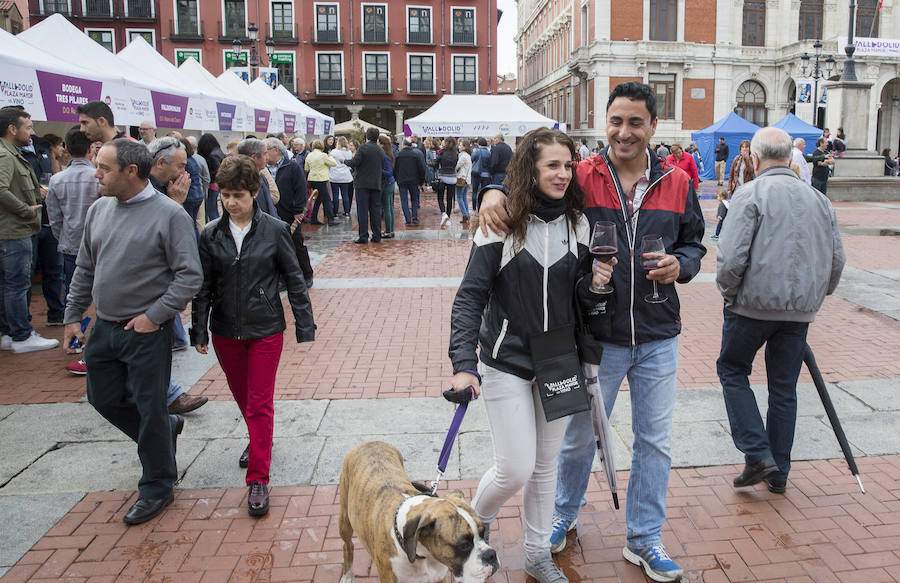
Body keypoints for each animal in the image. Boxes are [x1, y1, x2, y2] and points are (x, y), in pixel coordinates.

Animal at [338, 442, 500, 583]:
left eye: (484, 533)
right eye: (464, 545)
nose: (491, 554)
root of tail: (371, 442)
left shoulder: (439, 578)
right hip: (345, 521)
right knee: (347, 545)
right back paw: (347, 575)